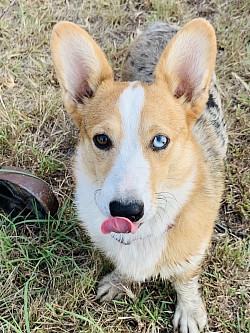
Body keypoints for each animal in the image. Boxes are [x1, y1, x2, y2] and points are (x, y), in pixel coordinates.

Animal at [50, 18, 227, 332]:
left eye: (160, 141)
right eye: (101, 140)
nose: (126, 211)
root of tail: (162, 25)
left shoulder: (191, 253)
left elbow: (186, 279)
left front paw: (190, 312)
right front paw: (119, 282)